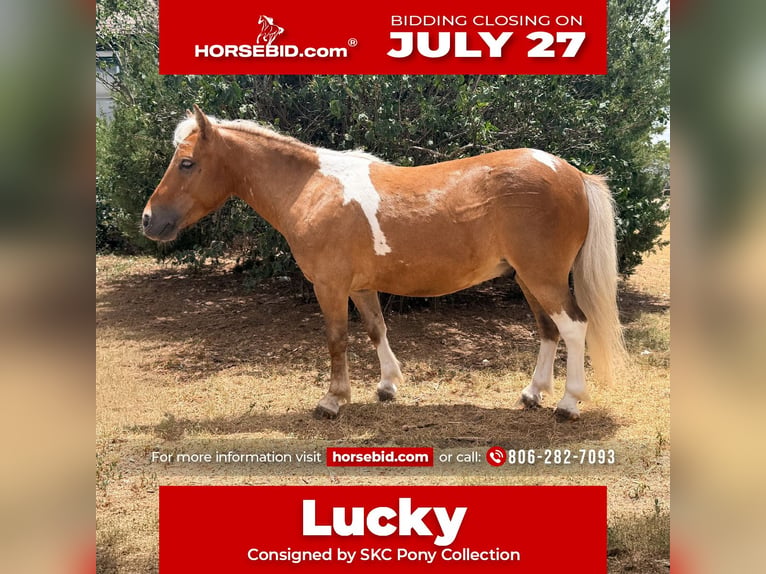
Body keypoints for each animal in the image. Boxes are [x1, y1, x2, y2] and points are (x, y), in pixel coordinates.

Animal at [142, 106, 626, 420]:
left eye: (187, 163)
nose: (148, 220)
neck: (311, 188)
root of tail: (573, 174)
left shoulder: (330, 286)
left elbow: (337, 339)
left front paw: (333, 400)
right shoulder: (360, 285)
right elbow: (377, 329)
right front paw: (387, 385)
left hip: (544, 278)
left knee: (573, 327)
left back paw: (567, 404)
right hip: (527, 278)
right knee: (548, 330)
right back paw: (532, 394)